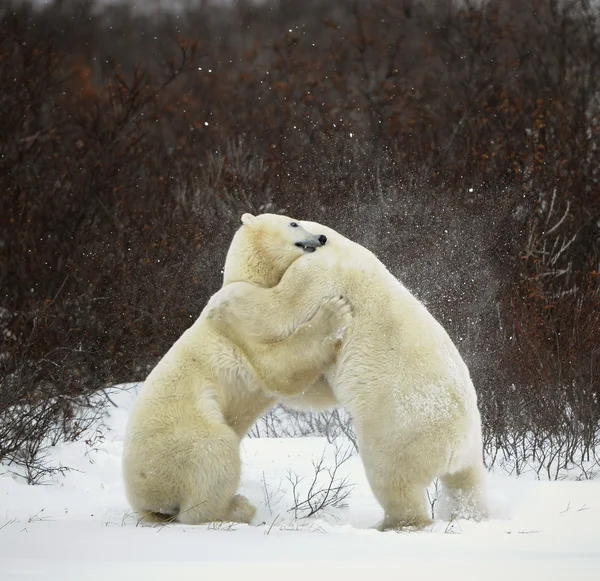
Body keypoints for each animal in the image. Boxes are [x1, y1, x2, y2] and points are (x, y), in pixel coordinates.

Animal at [123, 219, 354, 524]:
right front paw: (334, 312)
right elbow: (277, 367)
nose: (321, 237)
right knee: (215, 455)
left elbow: (304, 389)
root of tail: (147, 497)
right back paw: (238, 507)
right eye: (293, 222)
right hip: (183, 436)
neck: (248, 277)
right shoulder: (237, 318)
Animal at [220, 213, 488, 532]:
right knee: (467, 486)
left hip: (402, 428)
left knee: (392, 477)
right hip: (472, 446)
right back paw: (471, 514)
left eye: (294, 222)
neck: (333, 242)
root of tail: (455, 445)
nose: (318, 240)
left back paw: (392, 524)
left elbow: (280, 308)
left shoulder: (317, 274)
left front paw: (229, 295)